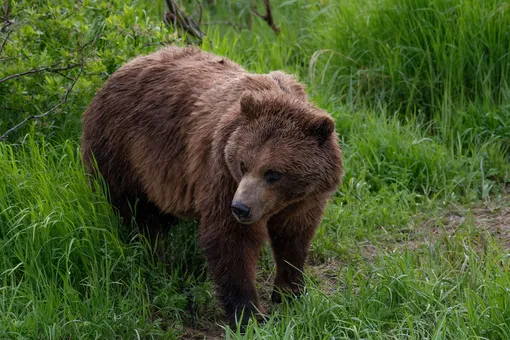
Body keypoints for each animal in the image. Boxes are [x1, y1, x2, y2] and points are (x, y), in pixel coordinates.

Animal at [80, 45, 342, 326]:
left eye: (273, 173)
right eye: (243, 164)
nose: (241, 207)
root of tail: (116, 71)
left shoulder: (306, 198)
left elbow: (294, 236)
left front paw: (290, 291)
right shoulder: (222, 172)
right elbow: (230, 238)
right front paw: (249, 313)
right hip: (123, 152)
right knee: (136, 214)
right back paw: (156, 260)